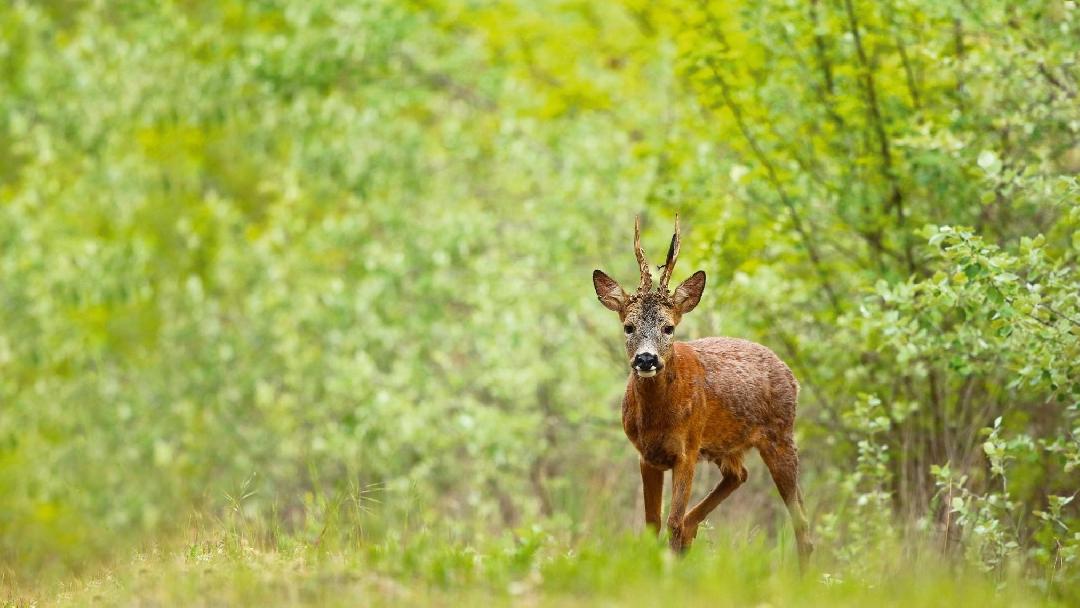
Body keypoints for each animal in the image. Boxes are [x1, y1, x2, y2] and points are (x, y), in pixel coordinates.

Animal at [596, 214, 812, 570]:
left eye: (668, 327)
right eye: (628, 327)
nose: (646, 359)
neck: (657, 419)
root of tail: (791, 375)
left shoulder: (688, 448)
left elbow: (670, 520)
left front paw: (668, 567)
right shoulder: (647, 455)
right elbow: (652, 522)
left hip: (781, 435)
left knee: (800, 519)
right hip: (725, 445)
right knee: (739, 475)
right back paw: (690, 535)